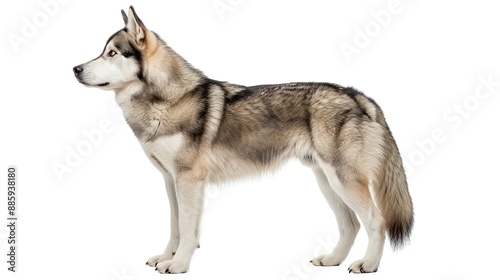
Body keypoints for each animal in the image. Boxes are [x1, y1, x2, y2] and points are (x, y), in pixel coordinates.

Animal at [71, 5, 414, 274]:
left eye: (112, 53)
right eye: (102, 52)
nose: (75, 68)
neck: (166, 100)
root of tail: (357, 94)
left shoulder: (189, 180)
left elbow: (187, 229)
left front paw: (178, 265)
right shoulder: (171, 181)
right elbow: (174, 227)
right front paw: (166, 258)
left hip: (343, 181)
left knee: (376, 221)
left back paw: (368, 264)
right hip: (327, 182)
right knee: (351, 225)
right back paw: (332, 260)